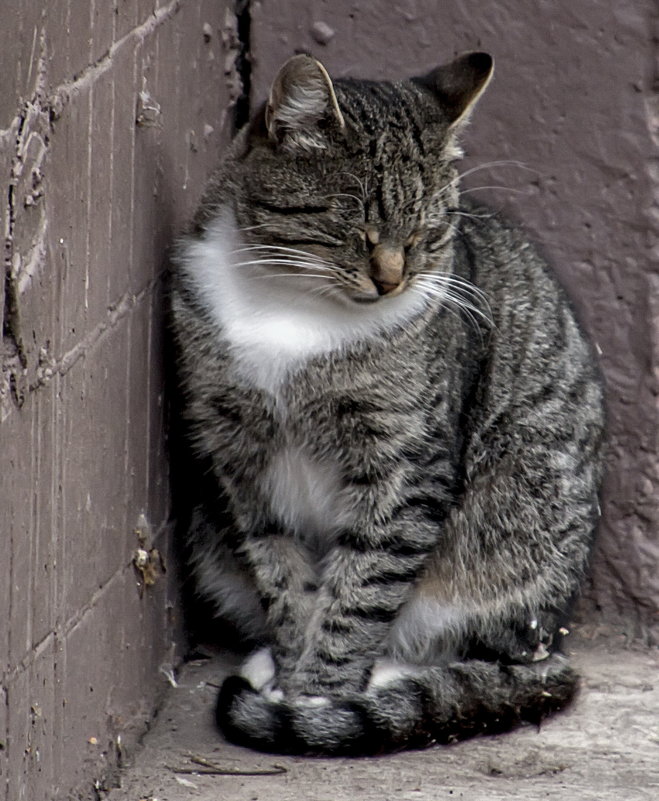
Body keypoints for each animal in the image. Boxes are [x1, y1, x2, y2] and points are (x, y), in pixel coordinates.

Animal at [169, 51, 604, 756]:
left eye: (428, 231)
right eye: (356, 226)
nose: (392, 279)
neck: (292, 308)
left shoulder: (405, 465)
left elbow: (362, 589)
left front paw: (319, 697)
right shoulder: (237, 457)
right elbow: (283, 579)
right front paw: (292, 674)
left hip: (515, 537)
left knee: (481, 659)